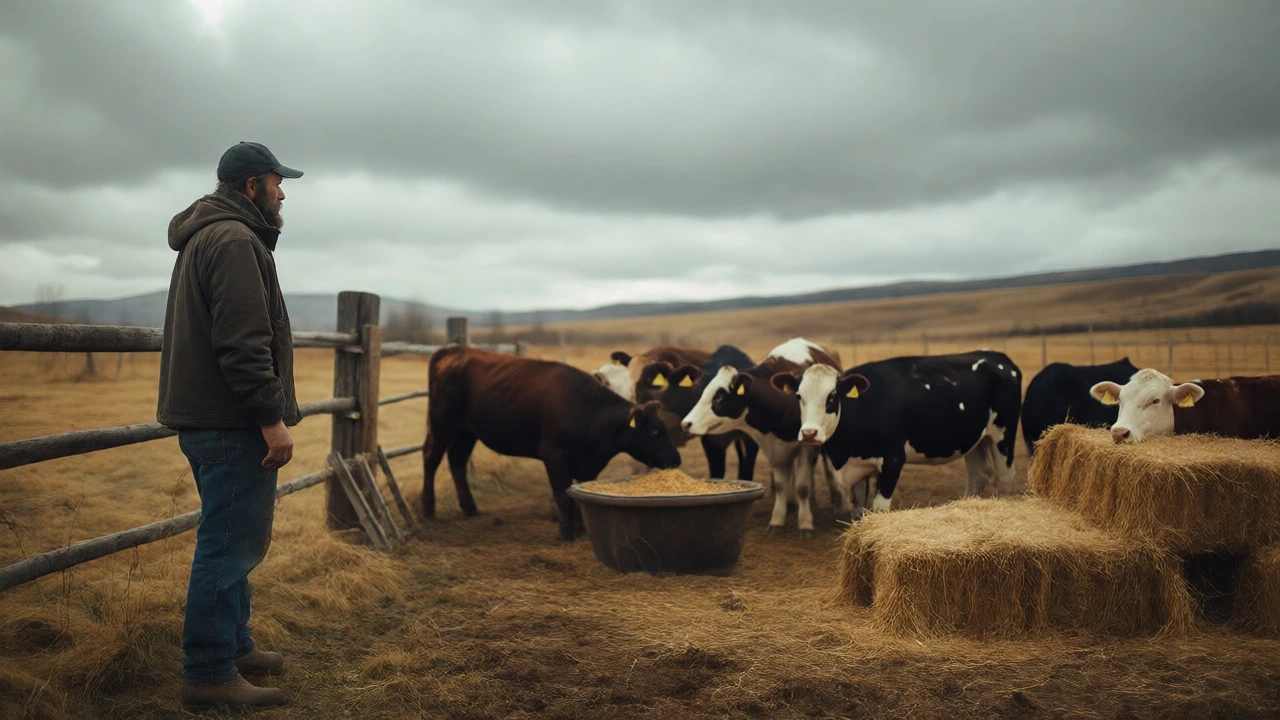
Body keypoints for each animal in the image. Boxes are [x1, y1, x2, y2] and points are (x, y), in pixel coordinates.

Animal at [422, 346, 682, 541]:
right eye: (655, 431)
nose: (676, 458)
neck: (586, 410)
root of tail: (453, 350)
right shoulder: (555, 455)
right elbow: (562, 495)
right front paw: (566, 533)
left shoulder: (586, 464)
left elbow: (577, 494)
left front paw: (582, 530)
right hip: (442, 424)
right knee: (431, 458)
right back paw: (429, 510)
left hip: (466, 431)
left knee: (457, 461)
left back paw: (470, 508)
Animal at [680, 338, 848, 539]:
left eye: (719, 397)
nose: (686, 423)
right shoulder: (773, 447)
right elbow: (781, 484)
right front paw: (777, 520)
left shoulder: (807, 445)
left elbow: (802, 486)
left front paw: (805, 524)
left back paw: (838, 503)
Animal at [781, 350, 1023, 513]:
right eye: (798, 396)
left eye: (831, 396)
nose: (809, 433)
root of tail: (997, 357)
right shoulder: (858, 468)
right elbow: (859, 514)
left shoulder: (892, 460)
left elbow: (878, 510)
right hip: (974, 439)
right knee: (978, 475)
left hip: (1003, 436)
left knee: (1006, 480)